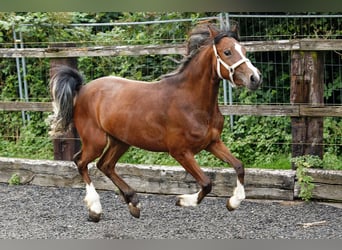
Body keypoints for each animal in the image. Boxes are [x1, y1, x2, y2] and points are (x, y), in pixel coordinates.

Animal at [48, 23, 262, 222]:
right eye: (227, 52)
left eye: (244, 51)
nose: (255, 78)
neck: (192, 101)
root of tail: (82, 89)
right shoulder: (180, 152)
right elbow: (207, 183)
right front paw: (182, 200)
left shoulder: (212, 142)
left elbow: (239, 166)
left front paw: (233, 202)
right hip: (95, 141)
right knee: (80, 161)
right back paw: (95, 209)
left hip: (121, 141)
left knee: (105, 165)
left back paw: (133, 203)